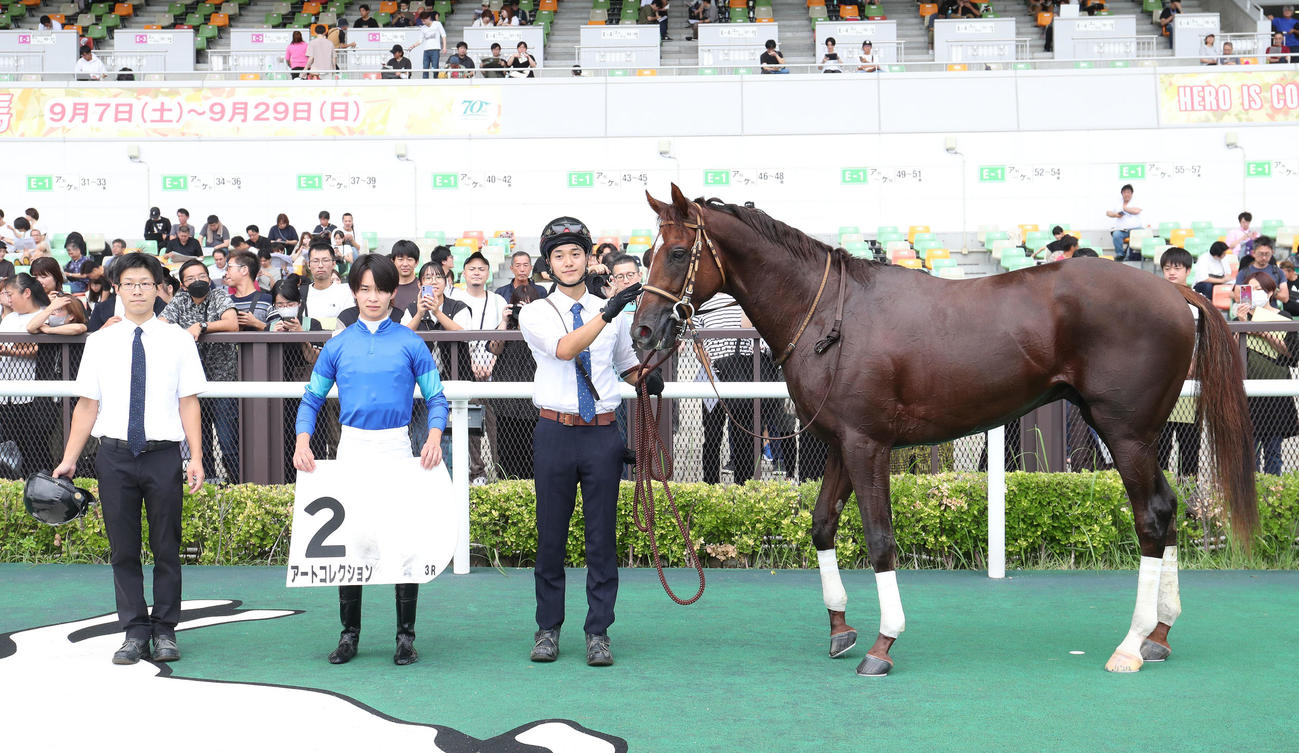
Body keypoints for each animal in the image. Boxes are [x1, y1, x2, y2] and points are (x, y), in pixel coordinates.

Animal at [632, 184, 1257, 677]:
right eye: (649, 252)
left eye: (679, 252)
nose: (642, 331)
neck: (830, 316)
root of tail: (1173, 290)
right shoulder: (837, 442)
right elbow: (822, 525)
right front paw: (839, 628)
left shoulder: (867, 445)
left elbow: (879, 539)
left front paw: (882, 644)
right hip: (1141, 436)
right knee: (1169, 509)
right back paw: (1159, 635)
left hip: (1125, 434)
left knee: (1150, 519)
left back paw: (1130, 645)